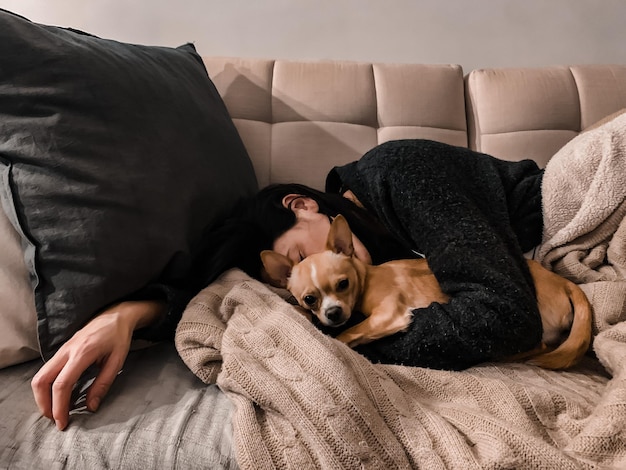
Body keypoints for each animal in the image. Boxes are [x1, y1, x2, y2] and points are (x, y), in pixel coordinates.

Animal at [258, 215, 588, 370]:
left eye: (343, 284)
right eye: (309, 299)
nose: (333, 313)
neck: (366, 278)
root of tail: (565, 283)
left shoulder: (388, 315)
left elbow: (347, 335)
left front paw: (340, 337)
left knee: (539, 346)